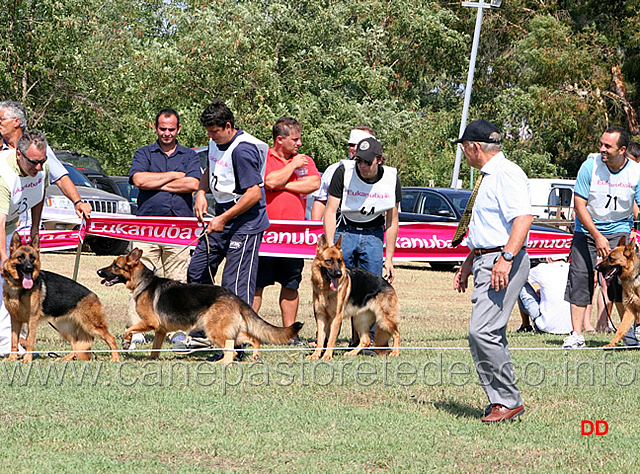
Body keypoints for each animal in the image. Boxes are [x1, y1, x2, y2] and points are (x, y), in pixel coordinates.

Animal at [2, 232, 121, 362]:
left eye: (32, 258)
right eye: (21, 257)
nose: (29, 268)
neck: (18, 287)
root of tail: (93, 295)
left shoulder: (32, 319)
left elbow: (29, 341)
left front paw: (27, 359)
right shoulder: (15, 320)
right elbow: (14, 341)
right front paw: (12, 358)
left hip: (91, 326)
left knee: (110, 338)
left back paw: (116, 358)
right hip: (64, 328)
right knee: (76, 344)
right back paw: (65, 358)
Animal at [96, 248, 304, 360]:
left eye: (115, 266)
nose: (99, 272)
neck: (143, 282)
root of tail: (234, 296)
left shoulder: (150, 323)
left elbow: (129, 329)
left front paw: (126, 342)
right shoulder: (160, 330)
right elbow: (155, 348)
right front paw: (151, 360)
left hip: (213, 331)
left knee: (231, 352)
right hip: (228, 331)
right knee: (253, 339)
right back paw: (255, 356)